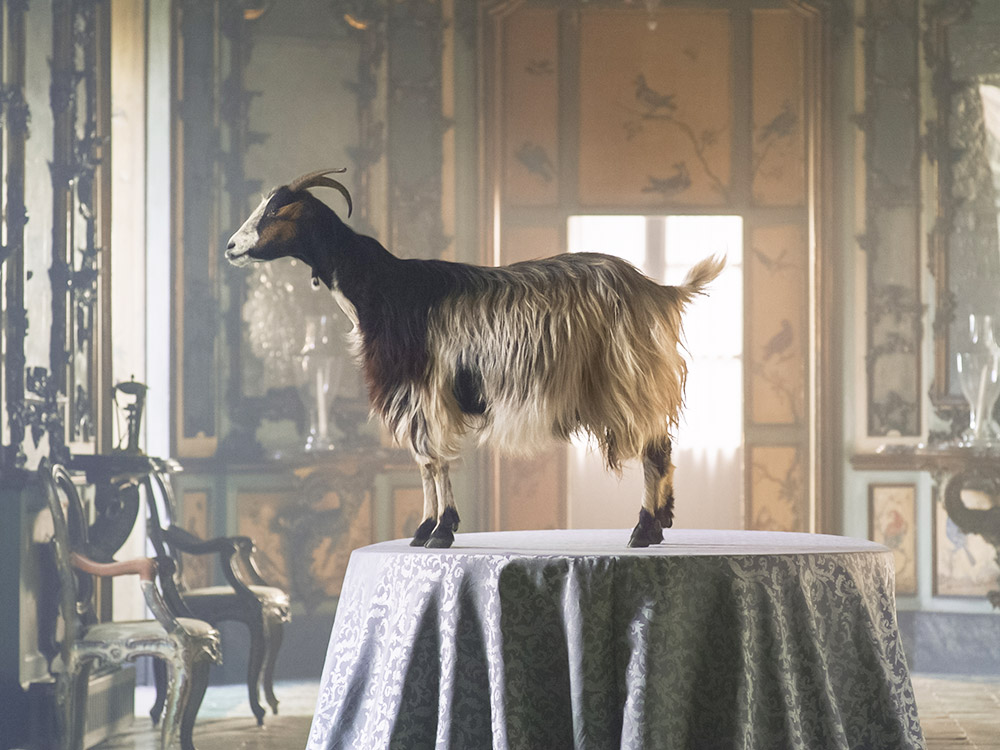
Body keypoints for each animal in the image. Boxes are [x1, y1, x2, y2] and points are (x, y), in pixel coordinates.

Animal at [228, 167, 728, 548]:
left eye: (275, 211)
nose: (230, 247)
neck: (383, 287)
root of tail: (659, 291)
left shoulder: (425, 388)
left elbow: (433, 460)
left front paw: (439, 531)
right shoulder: (417, 394)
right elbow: (425, 463)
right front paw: (425, 529)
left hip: (627, 376)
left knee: (654, 448)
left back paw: (643, 531)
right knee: (662, 443)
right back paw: (661, 523)